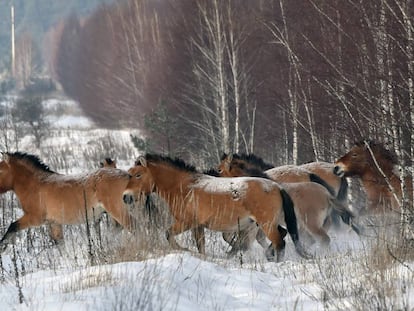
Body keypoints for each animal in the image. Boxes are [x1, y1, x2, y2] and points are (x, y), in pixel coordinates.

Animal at [0, 152, 139, 252]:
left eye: (0, 170)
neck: (36, 185)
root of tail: (128, 176)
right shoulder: (54, 223)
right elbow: (61, 244)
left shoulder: (34, 218)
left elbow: (13, 226)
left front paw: (2, 248)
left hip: (117, 211)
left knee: (133, 227)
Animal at [121, 155, 308, 262]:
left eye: (138, 175)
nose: (126, 197)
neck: (185, 187)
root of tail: (277, 187)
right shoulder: (198, 226)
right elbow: (200, 245)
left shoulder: (186, 223)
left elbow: (168, 235)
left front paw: (184, 250)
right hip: (263, 224)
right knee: (281, 234)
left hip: (266, 224)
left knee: (279, 243)